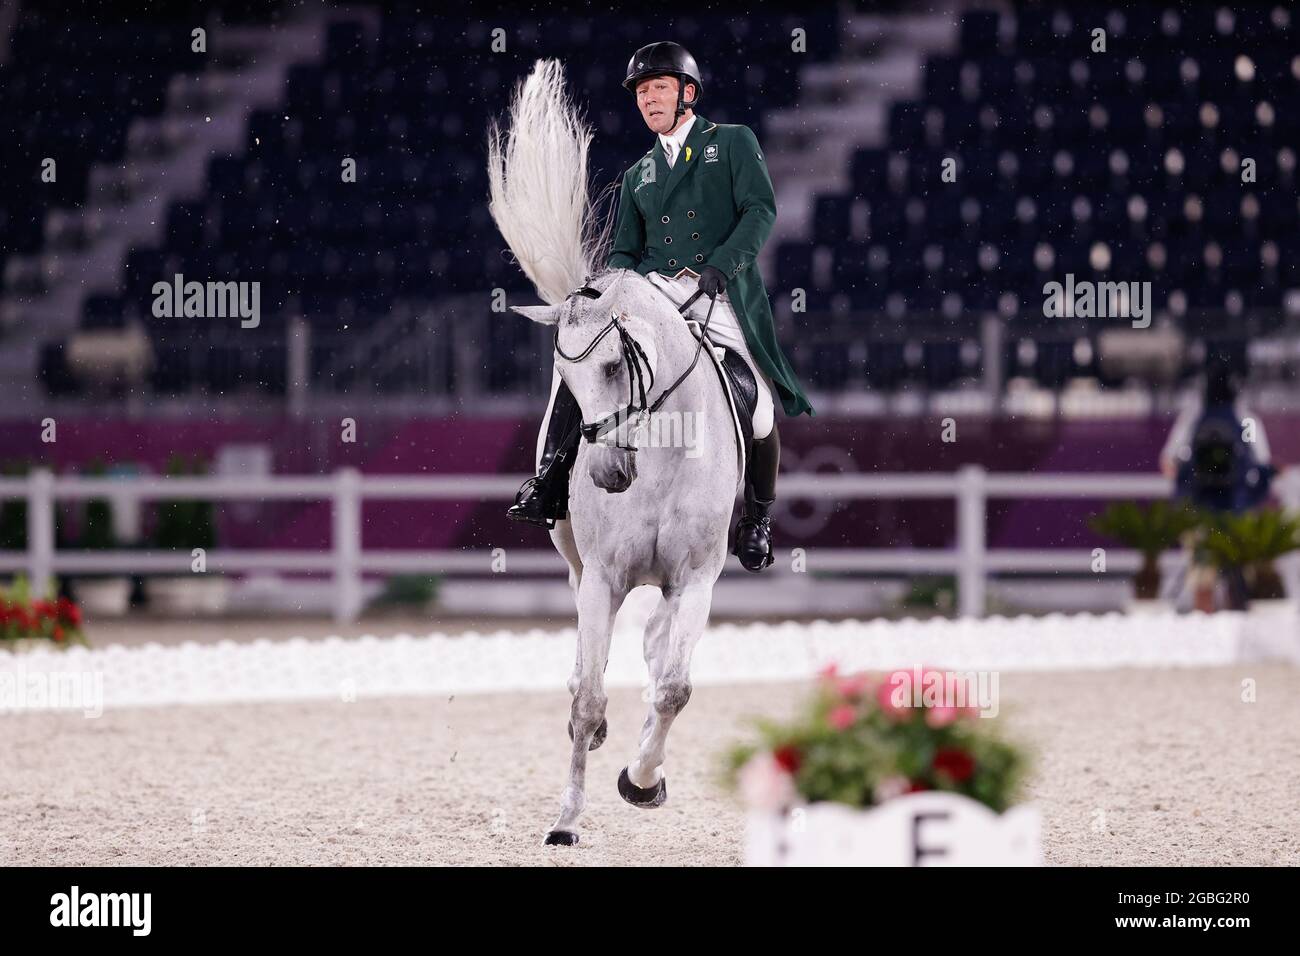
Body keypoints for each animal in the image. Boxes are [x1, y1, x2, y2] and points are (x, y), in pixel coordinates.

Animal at [488, 59, 743, 842]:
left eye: (612, 365)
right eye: (565, 385)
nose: (604, 473)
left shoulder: (696, 577)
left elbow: (675, 688)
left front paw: (642, 780)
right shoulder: (601, 577)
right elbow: (587, 699)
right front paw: (567, 817)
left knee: (659, 648)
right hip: (573, 558)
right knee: (588, 664)